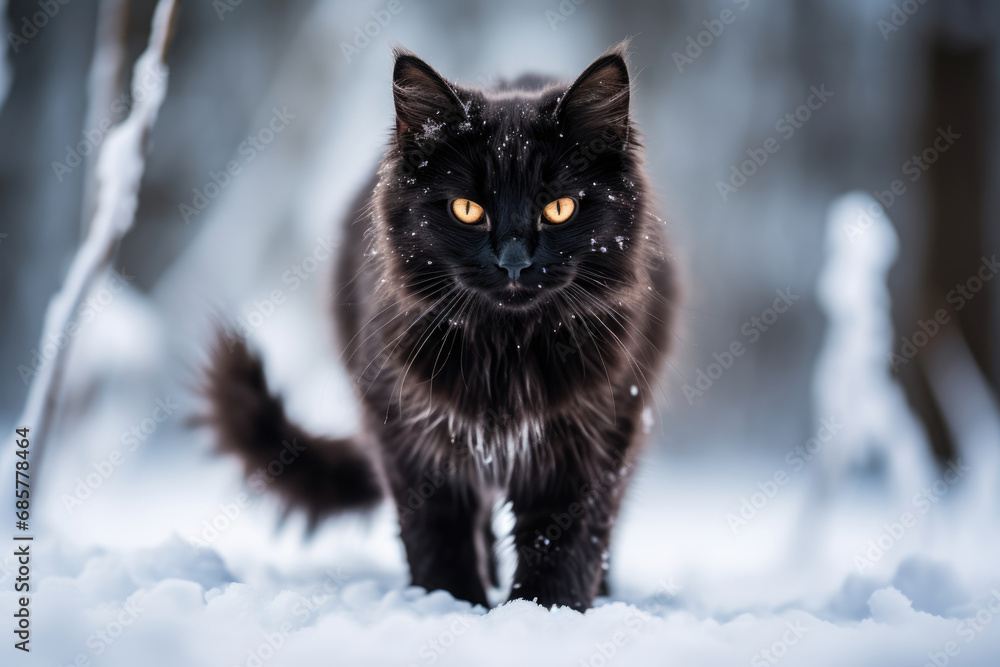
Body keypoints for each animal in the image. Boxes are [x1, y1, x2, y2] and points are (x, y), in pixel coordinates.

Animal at [205, 41, 672, 612]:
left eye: (559, 208)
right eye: (467, 209)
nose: (514, 262)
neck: (508, 351)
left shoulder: (597, 433)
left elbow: (565, 542)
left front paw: (545, 611)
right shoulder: (406, 432)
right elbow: (437, 532)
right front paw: (453, 605)